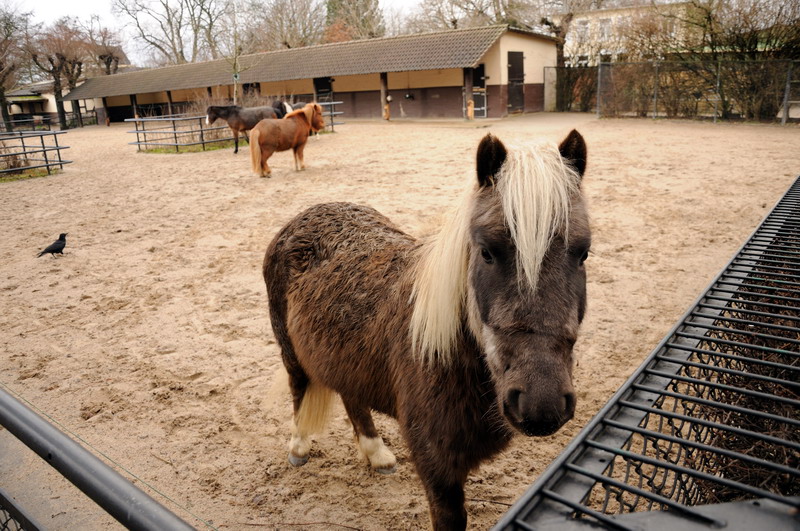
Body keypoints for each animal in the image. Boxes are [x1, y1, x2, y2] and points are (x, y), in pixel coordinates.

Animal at [263, 130, 590, 530]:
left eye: (583, 252)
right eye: (487, 251)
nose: (541, 403)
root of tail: (305, 215)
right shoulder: (438, 469)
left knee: (352, 397)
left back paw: (377, 455)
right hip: (289, 351)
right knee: (298, 389)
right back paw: (299, 448)